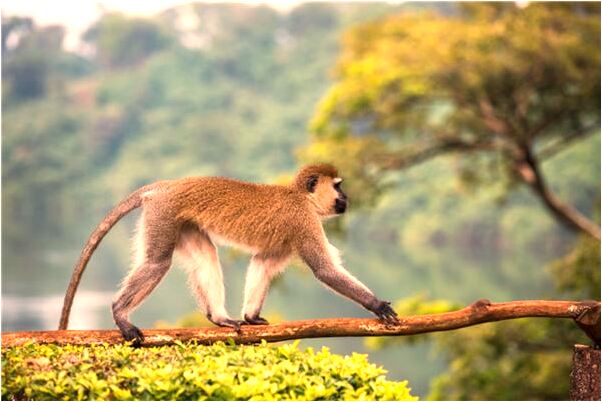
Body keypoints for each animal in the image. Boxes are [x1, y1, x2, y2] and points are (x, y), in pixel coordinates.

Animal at [58, 163, 398, 346]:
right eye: (338, 187)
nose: (347, 197)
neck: (301, 198)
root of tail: (167, 185)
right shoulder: (304, 221)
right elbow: (324, 270)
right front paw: (376, 304)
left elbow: (262, 263)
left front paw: (251, 317)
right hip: (163, 214)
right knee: (156, 263)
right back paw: (119, 312)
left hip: (181, 222)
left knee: (205, 256)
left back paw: (219, 318)